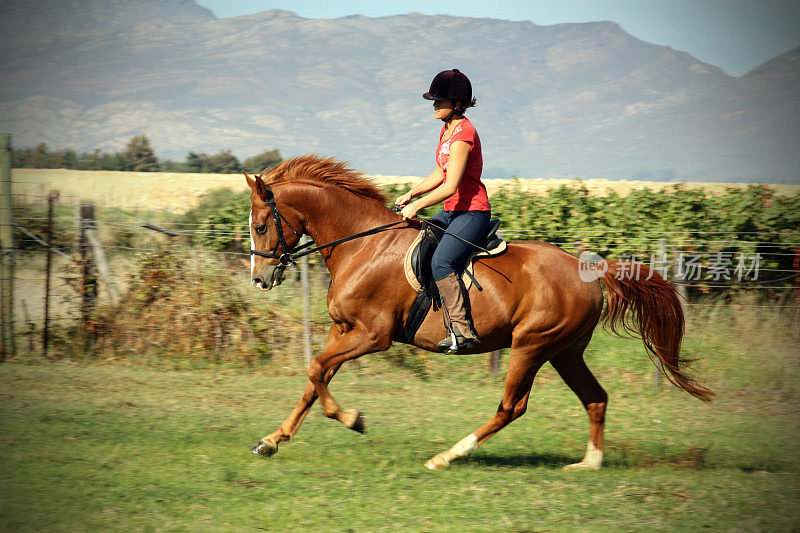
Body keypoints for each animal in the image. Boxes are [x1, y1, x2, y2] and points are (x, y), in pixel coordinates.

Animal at [245, 154, 712, 470]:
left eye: (261, 226)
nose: (260, 280)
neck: (362, 243)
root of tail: (590, 271)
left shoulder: (372, 335)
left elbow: (316, 371)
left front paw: (352, 419)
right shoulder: (342, 329)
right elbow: (314, 377)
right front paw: (272, 440)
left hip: (531, 345)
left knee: (512, 407)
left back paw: (448, 455)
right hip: (565, 352)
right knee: (595, 399)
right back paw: (589, 463)